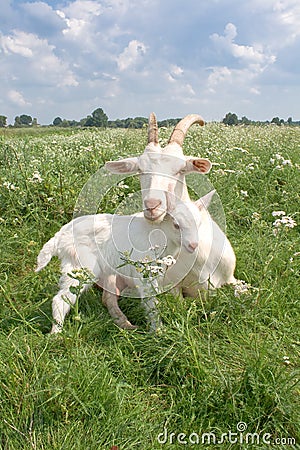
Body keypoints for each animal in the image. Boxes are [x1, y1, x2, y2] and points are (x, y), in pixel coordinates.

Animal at [35, 199, 200, 332]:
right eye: (176, 225)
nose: (193, 245)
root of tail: (60, 235)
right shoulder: (144, 271)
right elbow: (151, 302)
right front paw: (158, 331)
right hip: (82, 266)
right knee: (61, 298)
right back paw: (57, 334)